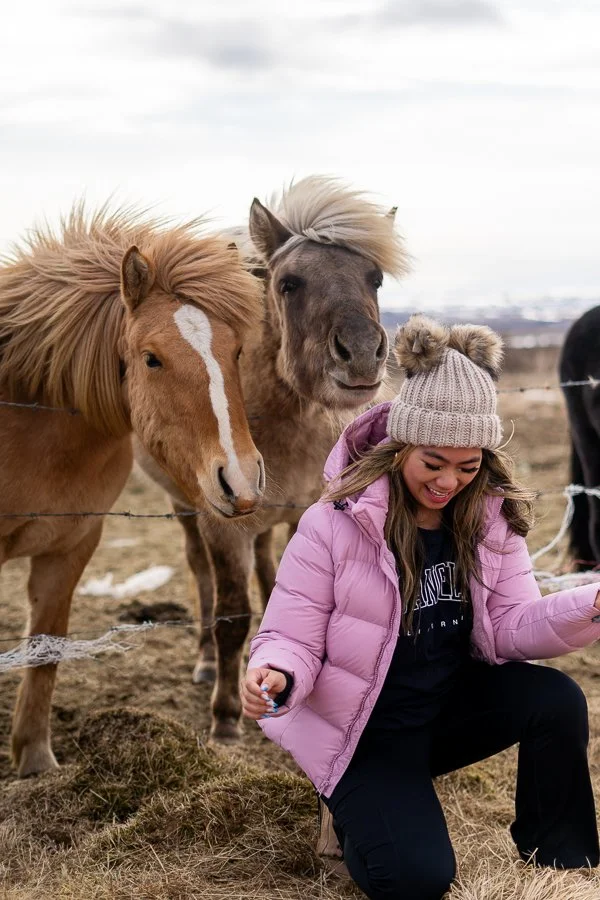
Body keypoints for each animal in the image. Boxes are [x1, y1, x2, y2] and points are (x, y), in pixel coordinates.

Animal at [0, 205, 265, 776]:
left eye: (237, 350)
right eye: (151, 358)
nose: (240, 480)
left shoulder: (72, 548)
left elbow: (45, 650)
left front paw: (35, 761)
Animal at [135, 176, 409, 741]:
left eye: (374, 278)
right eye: (289, 283)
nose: (362, 354)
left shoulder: (307, 516)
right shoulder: (222, 527)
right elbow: (230, 615)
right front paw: (224, 718)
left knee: (266, 567)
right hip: (187, 511)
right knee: (200, 574)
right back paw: (207, 662)